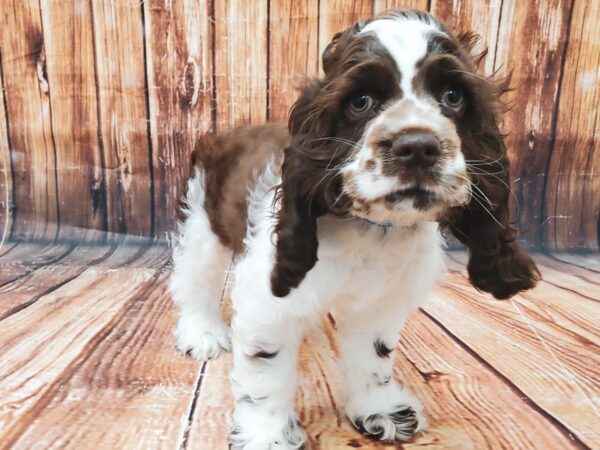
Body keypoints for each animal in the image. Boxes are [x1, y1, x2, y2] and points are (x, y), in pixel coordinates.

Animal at [168, 8, 540, 448]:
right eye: (360, 101)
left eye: (453, 96)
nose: (417, 147)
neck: (372, 230)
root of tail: (224, 132)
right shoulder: (267, 303)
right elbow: (265, 375)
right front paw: (268, 434)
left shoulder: (379, 304)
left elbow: (372, 356)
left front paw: (381, 410)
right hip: (201, 222)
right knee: (196, 281)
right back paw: (202, 332)